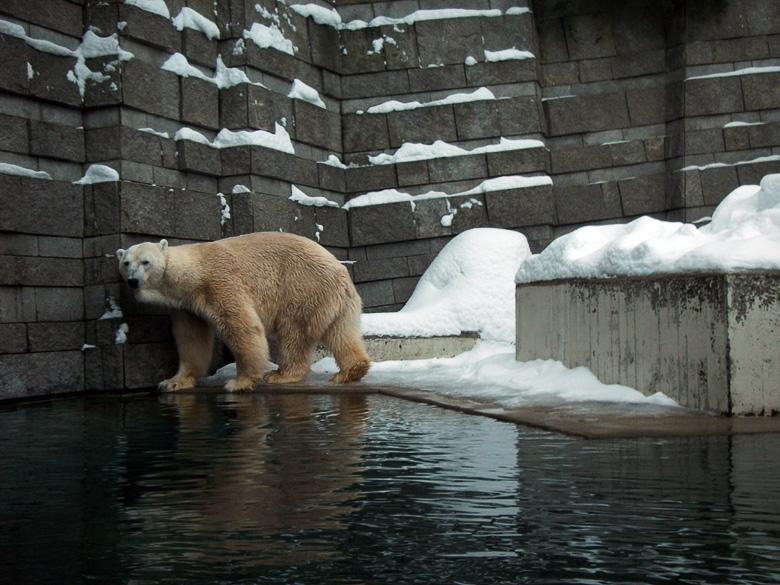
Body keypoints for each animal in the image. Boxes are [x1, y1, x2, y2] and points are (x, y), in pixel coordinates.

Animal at [116, 230, 372, 390]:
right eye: (126, 262)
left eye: (146, 262)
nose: (132, 281)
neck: (193, 273)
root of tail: (341, 271)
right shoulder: (185, 305)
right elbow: (191, 338)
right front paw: (173, 381)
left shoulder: (219, 282)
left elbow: (240, 326)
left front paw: (240, 381)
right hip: (337, 300)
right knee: (340, 332)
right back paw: (352, 370)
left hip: (302, 287)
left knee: (294, 332)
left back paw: (280, 374)